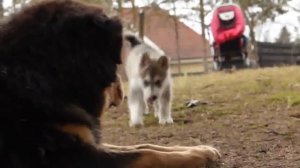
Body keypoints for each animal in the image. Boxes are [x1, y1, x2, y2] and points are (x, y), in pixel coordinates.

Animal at [0, 0, 220, 167]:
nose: (122, 92)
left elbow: (143, 146)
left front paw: (198, 150)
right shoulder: (71, 156)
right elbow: (147, 154)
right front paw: (195, 156)